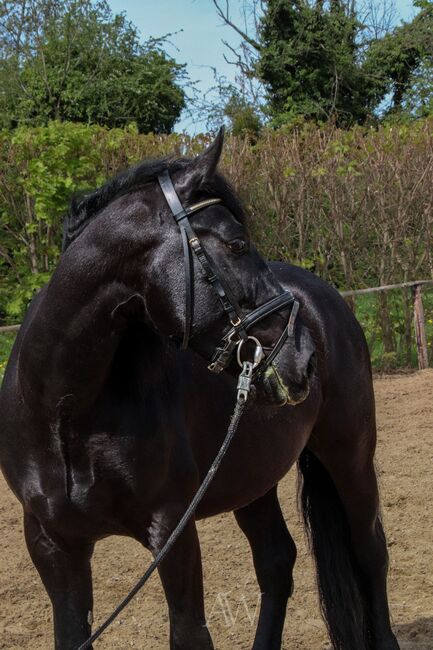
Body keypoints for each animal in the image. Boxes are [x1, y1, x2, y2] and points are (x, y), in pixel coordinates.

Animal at [0, 132, 398, 648]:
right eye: (237, 243)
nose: (304, 357)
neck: (66, 410)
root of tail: (324, 297)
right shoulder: (53, 544)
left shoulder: (173, 530)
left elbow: (189, 633)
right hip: (254, 476)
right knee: (277, 562)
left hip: (350, 454)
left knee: (370, 550)